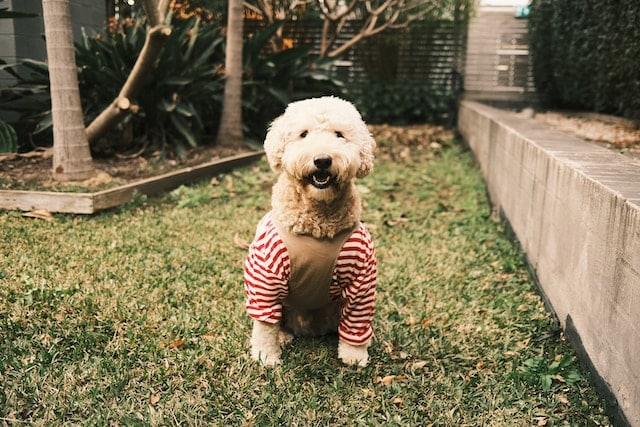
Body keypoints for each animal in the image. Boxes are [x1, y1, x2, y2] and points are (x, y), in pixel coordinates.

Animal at [244, 97, 376, 368]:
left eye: (340, 135)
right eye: (303, 134)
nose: (323, 160)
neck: (317, 227)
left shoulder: (362, 278)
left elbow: (357, 322)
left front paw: (354, 355)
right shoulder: (265, 277)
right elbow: (264, 326)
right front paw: (266, 356)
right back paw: (282, 337)